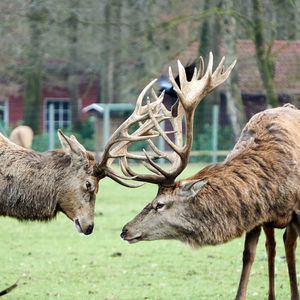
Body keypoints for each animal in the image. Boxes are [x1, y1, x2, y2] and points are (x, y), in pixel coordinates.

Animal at [93, 52, 300, 298]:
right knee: (273, 246)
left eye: (159, 204)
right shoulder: (256, 215)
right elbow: (248, 256)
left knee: (287, 245)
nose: (125, 230)